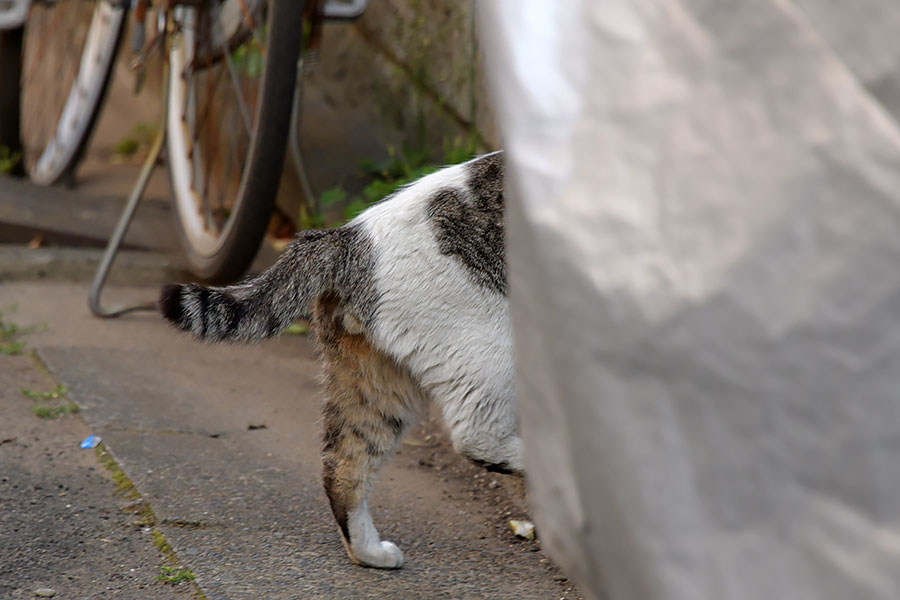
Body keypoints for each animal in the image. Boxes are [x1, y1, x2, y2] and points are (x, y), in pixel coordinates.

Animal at [158, 150, 516, 568]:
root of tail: (344, 237)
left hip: (378, 382)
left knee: (343, 467)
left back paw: (370, 552)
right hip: (491, 347)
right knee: (476, 435)